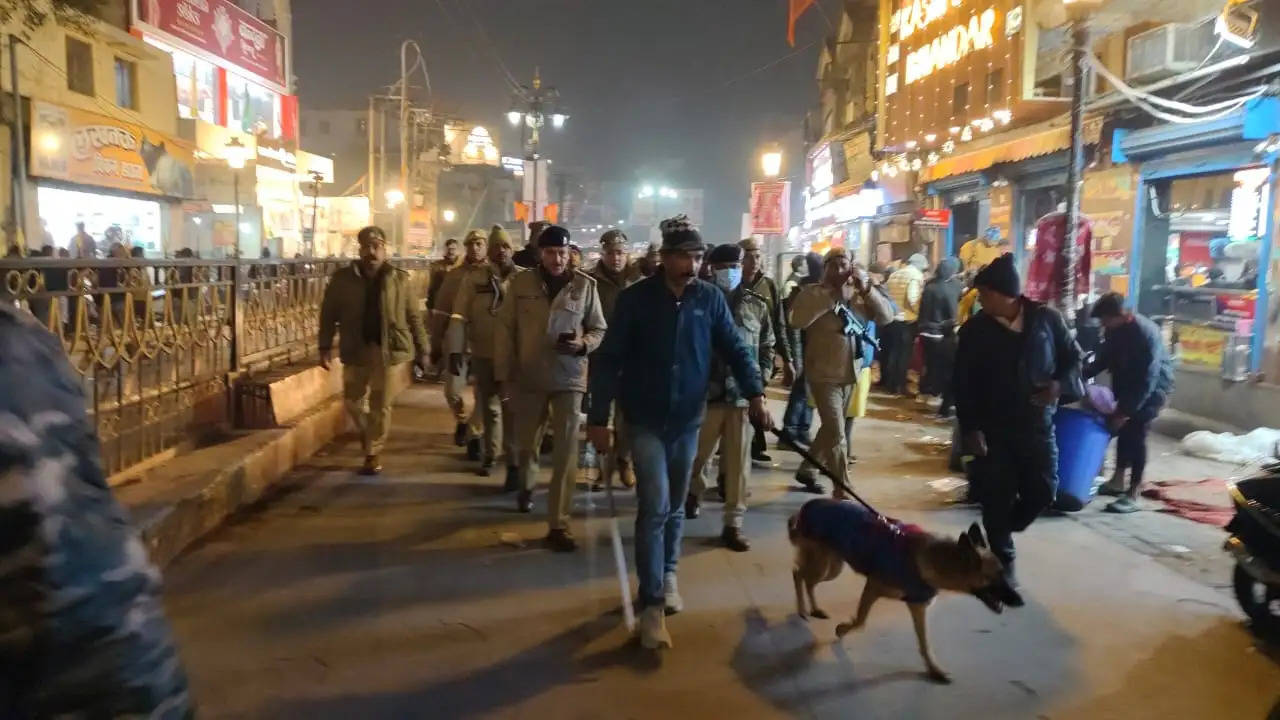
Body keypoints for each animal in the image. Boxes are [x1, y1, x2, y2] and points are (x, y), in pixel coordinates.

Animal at [788, 497, 1008, 681]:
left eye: (1003, 574)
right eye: (995, 577)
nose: (1016, 599)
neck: (934, 559)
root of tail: (809, 504)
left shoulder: (918, 606)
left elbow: (925, 643)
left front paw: (933, 669)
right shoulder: (872, 588)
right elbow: (860, 620)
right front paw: (843, 629)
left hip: (833, 567)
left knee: (808, 580)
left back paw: (815, 609)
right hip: (822, 563)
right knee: (798, 574)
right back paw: (802, 610)